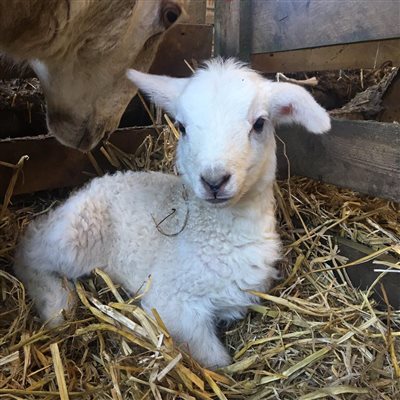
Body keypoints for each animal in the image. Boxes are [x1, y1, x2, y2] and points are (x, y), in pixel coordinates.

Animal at [14, 58, 330, 368]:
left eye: (260, 123)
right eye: (183, 126)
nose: (214, 180)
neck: (218, 235)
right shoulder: (170, 301)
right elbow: (216, 361)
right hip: (77, 234)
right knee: (29, 250)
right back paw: (55, 303)